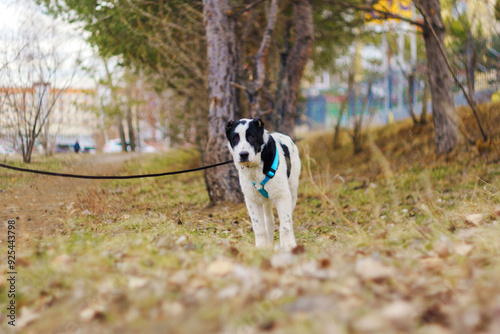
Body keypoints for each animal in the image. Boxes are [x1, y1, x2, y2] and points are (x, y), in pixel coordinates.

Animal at [227, 118, 300, 249]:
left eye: (251, 137)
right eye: (235, 138)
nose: (243, 154)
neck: (256, 166)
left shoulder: (282, 195)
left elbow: (285, 224)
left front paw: (288, 246)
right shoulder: (252, 200)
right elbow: (259, 227)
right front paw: (261, 247)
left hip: (292, 191)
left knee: (287, 219)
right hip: (266, 201)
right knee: (269, 221)